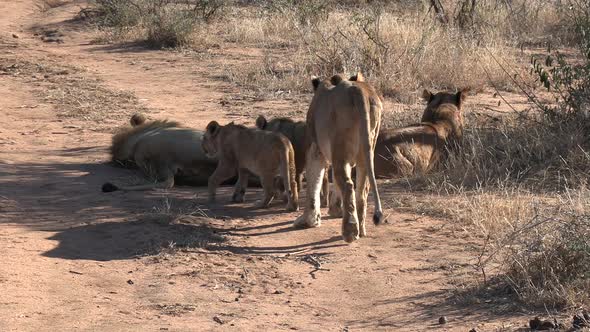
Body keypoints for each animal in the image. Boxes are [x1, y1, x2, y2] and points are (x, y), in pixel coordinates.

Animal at [296, 72, 388, 243]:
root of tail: (357, 91)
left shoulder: (315, 146)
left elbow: (314, 181)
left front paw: (309, 220)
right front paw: (336, 210)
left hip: (339, 148)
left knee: (347, 184)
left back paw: (350, 231)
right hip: (366, 149)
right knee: (361, 190)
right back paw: (361, 229)